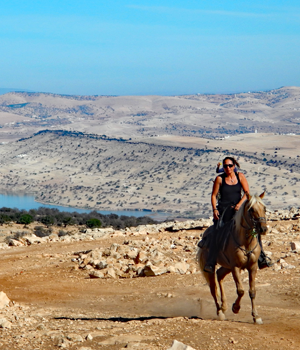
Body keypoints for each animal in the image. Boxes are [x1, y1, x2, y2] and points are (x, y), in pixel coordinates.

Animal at [197, 193, 268, 324]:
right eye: (251, 210)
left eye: (264, 209)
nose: (263, 229)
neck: (246, 242)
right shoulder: (236, 267)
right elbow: (240, 290)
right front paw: (235, 308)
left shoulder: (252, 267)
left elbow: (252, 291)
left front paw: (256, 316)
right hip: (211, 267)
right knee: (213, 288)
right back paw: (220, 312)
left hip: (227, 266)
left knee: (219, 275)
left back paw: (224, 306)